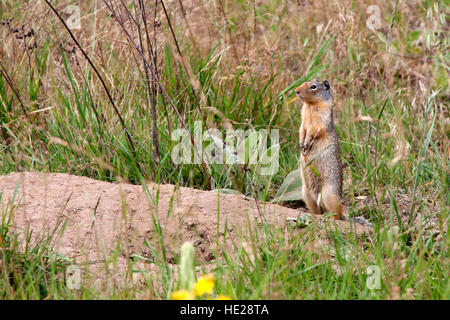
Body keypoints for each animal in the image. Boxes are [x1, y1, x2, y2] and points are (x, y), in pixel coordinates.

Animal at [296, 79, 344, 220]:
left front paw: (307, 142)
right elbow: (302, 130)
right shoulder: (303, 120)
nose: (296, 91)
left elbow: (313, 131)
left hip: (329, 195)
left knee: (337, 214)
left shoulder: (321, 120)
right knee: (317, 211)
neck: (310, 105)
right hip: (305, 194)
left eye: (313, 86)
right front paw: (301, 144)